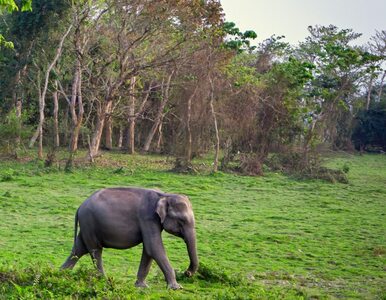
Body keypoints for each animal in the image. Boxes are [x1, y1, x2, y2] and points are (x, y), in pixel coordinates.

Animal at [61, 186, 199, 290]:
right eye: (182, 221)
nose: (187, 273)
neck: (165, 195)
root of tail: (80, 207)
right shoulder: (148, 218)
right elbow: (153, 247)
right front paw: (176, 288)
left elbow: (149, 250)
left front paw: (141, 286)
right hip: (89, 222)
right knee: (95, 250)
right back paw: (103, 280)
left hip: (87, 226)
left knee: (79, 249)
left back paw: (61, 274)